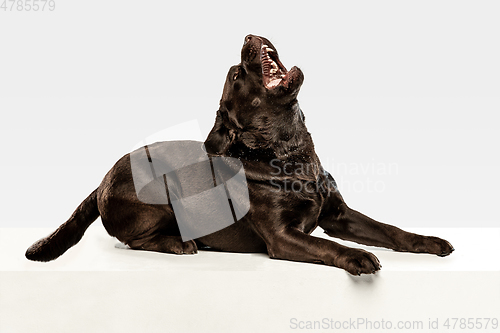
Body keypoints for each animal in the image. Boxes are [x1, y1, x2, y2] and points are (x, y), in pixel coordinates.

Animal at [25, 34, 454, 274]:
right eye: (235, 76)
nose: (249, 35)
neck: (291, 153)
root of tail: (100, 181)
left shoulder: (339, 215)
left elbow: (390, 230)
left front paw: (429, 241)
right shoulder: (282, 237)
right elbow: (328, 246)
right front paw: (357, 257)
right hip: (159, 193)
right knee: (134, 241)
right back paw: (179, 243)